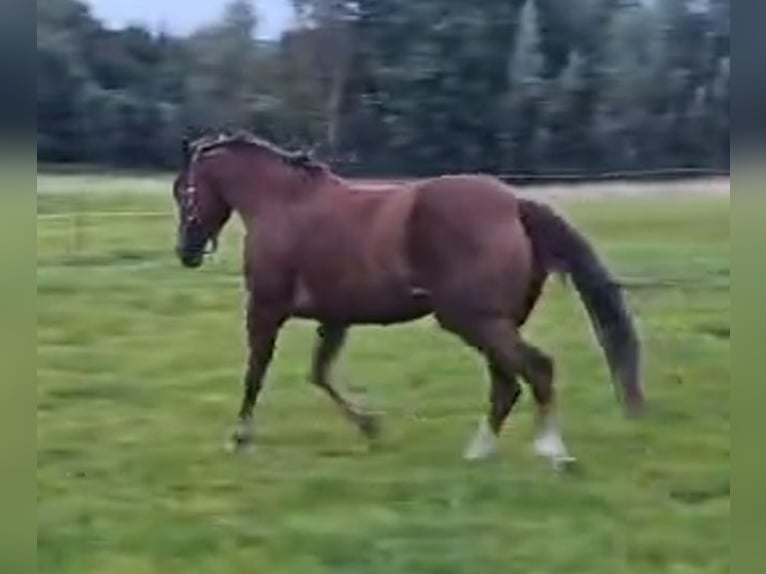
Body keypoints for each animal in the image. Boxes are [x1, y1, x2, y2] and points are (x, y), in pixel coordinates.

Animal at [172, 131, 643, 469]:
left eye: (184, 191)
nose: (186, 252)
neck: (284, 204)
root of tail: (514, 205)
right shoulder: (335, 318)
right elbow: (320, 373)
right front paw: (370, 425)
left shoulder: (266, 309)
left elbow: (256, 372)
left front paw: (239, 438)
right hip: (492, 322)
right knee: (507, 383)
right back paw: (479, 451)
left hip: (475, 320)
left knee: (535, 370)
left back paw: (552, 451)